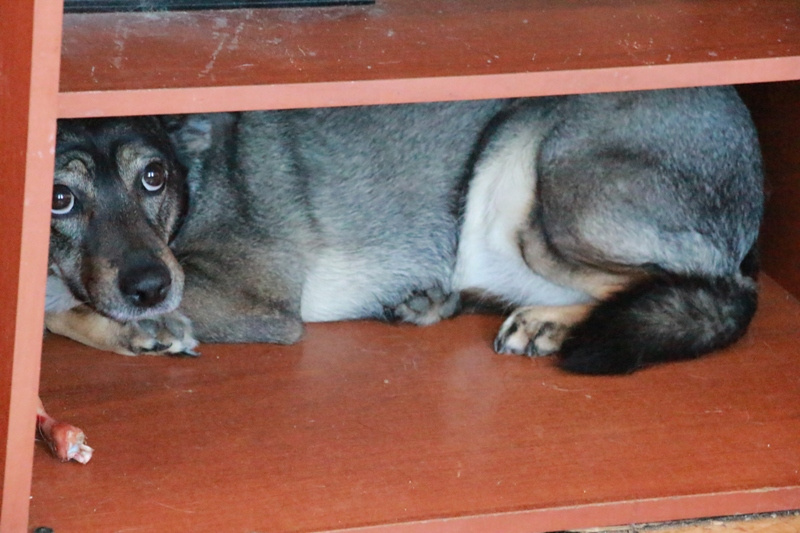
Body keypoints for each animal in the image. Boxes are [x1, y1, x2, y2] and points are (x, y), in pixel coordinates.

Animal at [45, 86, 763, 374]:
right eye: (58, 198)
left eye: (153, 177)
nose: (148, 290)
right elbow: (61, 301)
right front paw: (133, 328)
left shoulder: (254, 299)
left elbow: (57, 308)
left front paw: (141, 328)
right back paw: (429, 300)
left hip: (544, 188)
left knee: (704, 286)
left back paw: (547, 324)